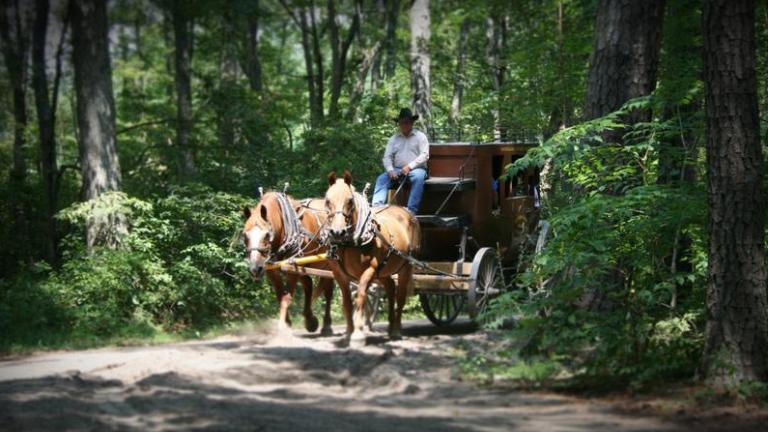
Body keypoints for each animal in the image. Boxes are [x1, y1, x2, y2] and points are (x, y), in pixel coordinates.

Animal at [242, 192, 334, 334]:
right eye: (245, 236)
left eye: (267, 235)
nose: (255, 268)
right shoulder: (273, 272)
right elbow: (280, 297)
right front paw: (288, 323)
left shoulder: (292, 269)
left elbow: (286, 298)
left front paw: (283, 326)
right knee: (309, 284)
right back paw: (310, 320)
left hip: (328, 265)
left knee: (328, 291)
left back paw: (327, 325)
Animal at [322, 170, 424, 346]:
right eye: (328, 200)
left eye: (350, 201)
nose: (337, 232)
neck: (350, 242)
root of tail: (408, 213)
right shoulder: (339, 274)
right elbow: (347, 302)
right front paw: (348, 333)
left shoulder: (370, 270)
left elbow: (361, 296)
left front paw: (357, 334)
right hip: (384, 271)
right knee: (390, 287)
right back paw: (390, 327)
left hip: (406, 267)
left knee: (400, 295)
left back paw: (396, 331)